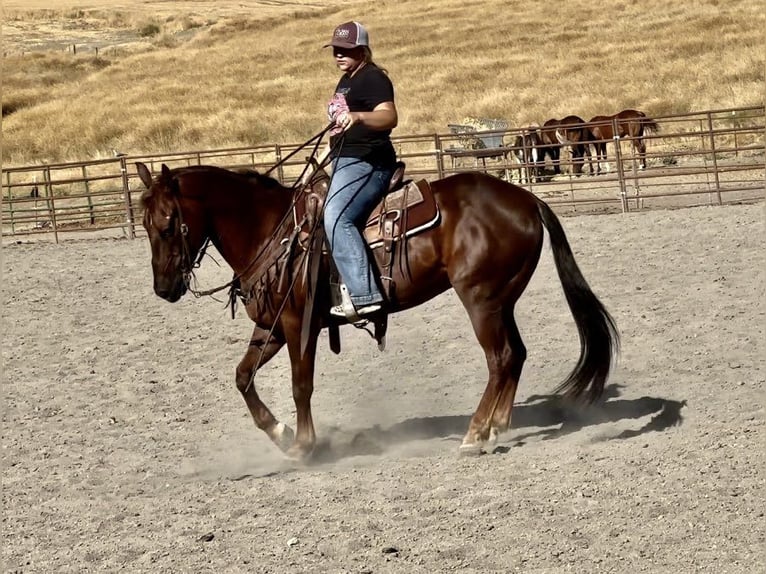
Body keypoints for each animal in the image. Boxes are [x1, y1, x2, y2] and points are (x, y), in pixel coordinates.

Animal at [135, 162, 620, 464]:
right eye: (144, 225)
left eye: (168, 225)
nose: (163, 289)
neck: (270, 231)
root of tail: (526, 200)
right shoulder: (270, 327)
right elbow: (242, 377)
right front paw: (280, 434)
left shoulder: (298, 324)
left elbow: (300, 386)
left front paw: (304, 446)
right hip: (503, 300)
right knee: (515, 355)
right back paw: (497, 427)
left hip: (481, 301)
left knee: (499, 359)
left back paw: (473, 435)